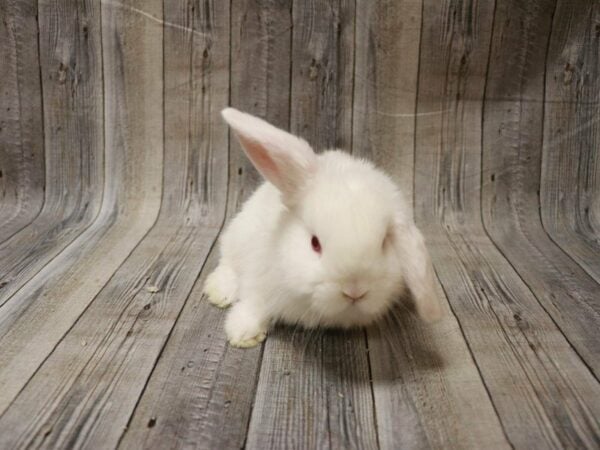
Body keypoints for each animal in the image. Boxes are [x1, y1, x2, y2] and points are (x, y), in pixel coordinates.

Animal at [204, 109, 442, 348]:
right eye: (315, 243)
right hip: (237, 237)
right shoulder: (259, 276)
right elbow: (254, 303)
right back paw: (218, 291)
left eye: (384, 243)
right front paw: (243, 334)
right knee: (227, 264)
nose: (355, 291)